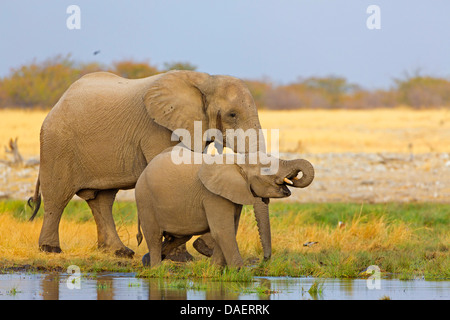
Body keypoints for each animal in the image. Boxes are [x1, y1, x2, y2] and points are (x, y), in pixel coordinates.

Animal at [29, 70, 268, 258]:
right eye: (232, 114)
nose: (265, 259)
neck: (205, 79)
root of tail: (57, 103)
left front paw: (197, 250)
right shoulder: (158, 129)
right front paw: (182, 258)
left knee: (102, 200)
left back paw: (119, 252)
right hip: (57, 143)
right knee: (58, 195)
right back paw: (50, 249)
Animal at [135, 148, 314, 268]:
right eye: (267, 169)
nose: (263, 261)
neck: (238, 161)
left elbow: (229, 230)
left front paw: (215, 270)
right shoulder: (213, 195)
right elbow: (223, 231)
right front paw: (241, 273)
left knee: (178, 237)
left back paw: (148, 261)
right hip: (145, 199)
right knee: (154, 236)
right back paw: (157, 270)